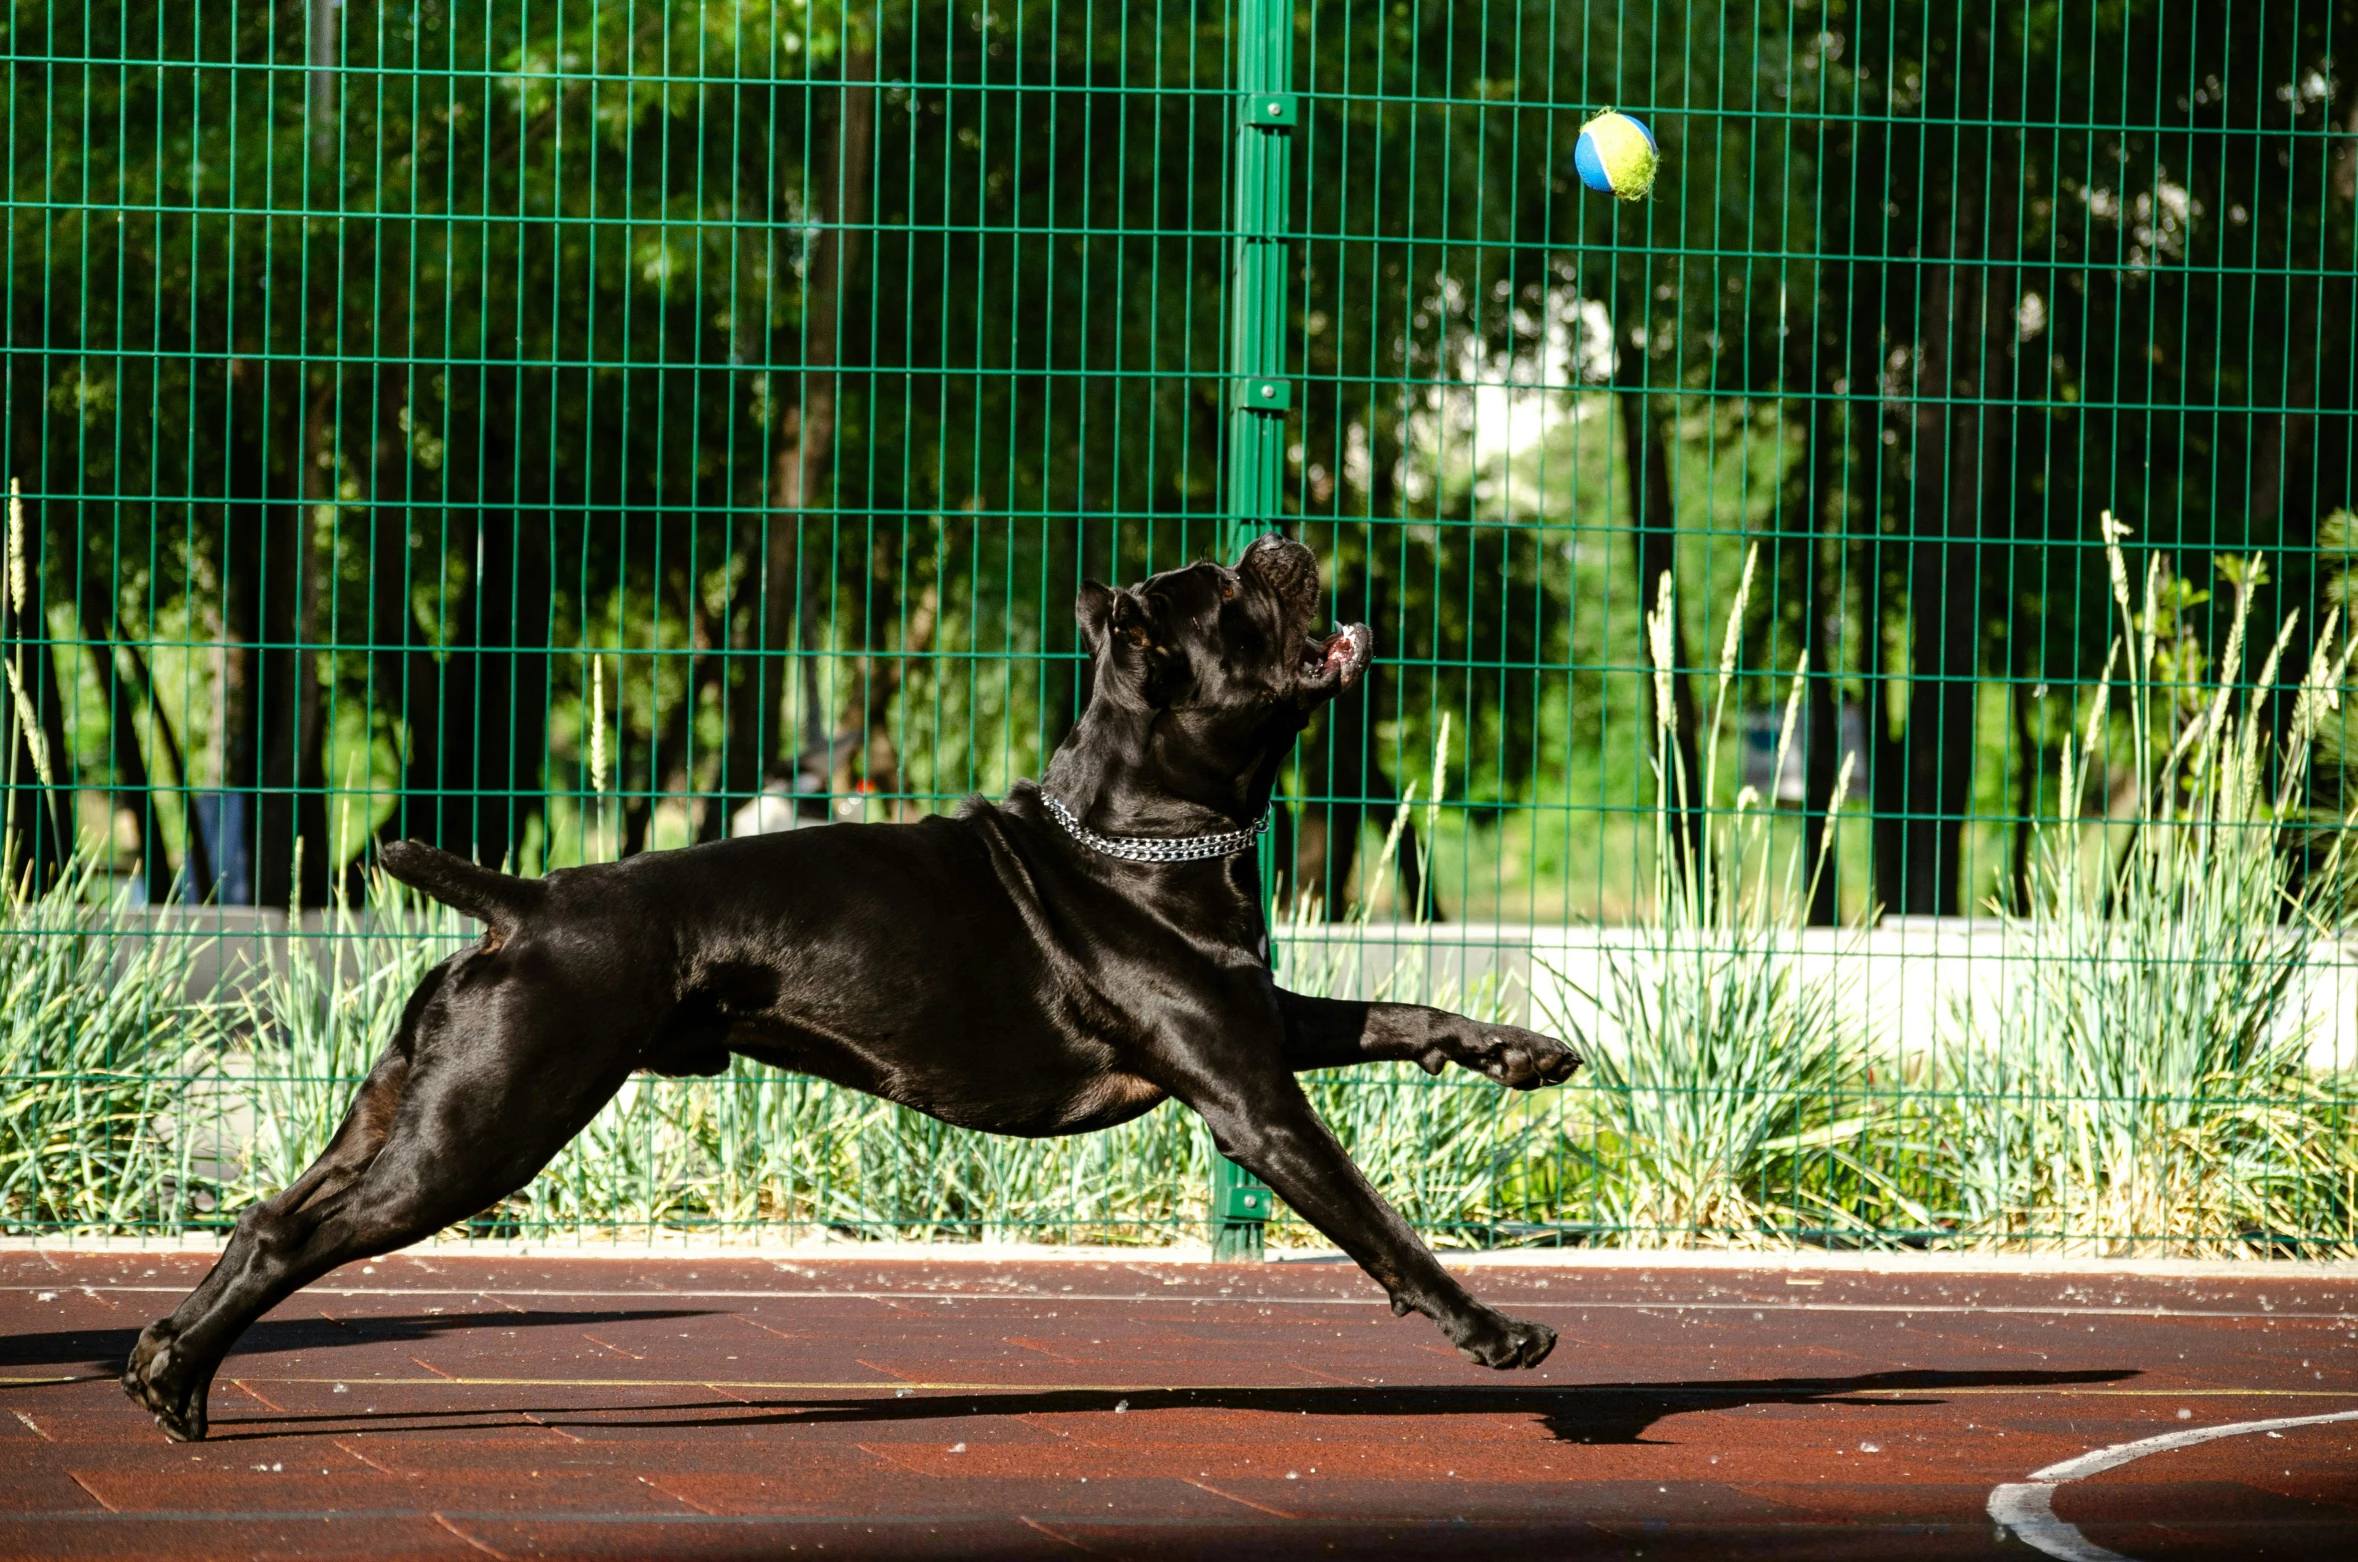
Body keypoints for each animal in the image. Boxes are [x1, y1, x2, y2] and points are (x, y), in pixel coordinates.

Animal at [119, 535, 1575, 1444]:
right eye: (1228, 595)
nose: (1271, 537)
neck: (1135, 829)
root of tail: (525, 901)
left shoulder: (1266, 1024)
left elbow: (1398, 1017)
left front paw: (1522, 1053)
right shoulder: (1255, 1103)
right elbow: (1381, 1225)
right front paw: (1492, 1331)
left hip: (404, 1108)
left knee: (268, 1215)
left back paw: (160, 1365)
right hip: (485, 1127)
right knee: (299, 1237)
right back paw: (182, 1387)